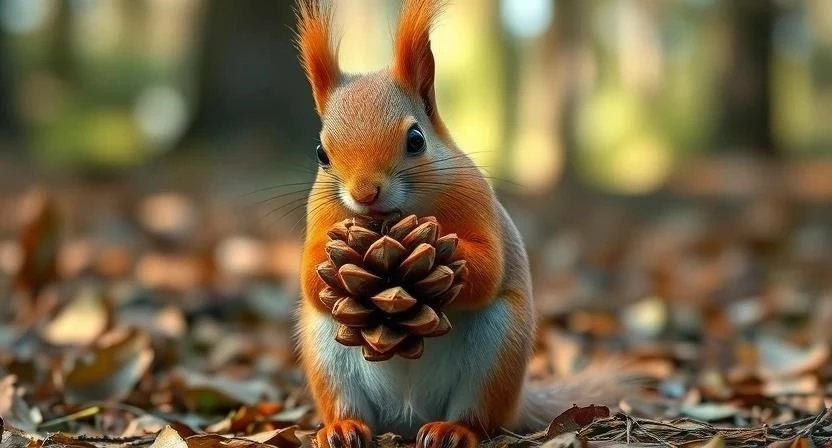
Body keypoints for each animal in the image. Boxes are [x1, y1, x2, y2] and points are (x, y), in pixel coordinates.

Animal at [295, 1, 627, 447]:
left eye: (416, 139)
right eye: (321, 153)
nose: (365, 194)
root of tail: (408, 418)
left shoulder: (473, 197)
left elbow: (486, 267)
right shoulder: (319, 213)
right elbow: (309, 278)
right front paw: (332, 263)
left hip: (497, 351)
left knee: (477, 416)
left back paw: (450, 430)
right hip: (327, 358)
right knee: (347, 405)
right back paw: (342, 429)